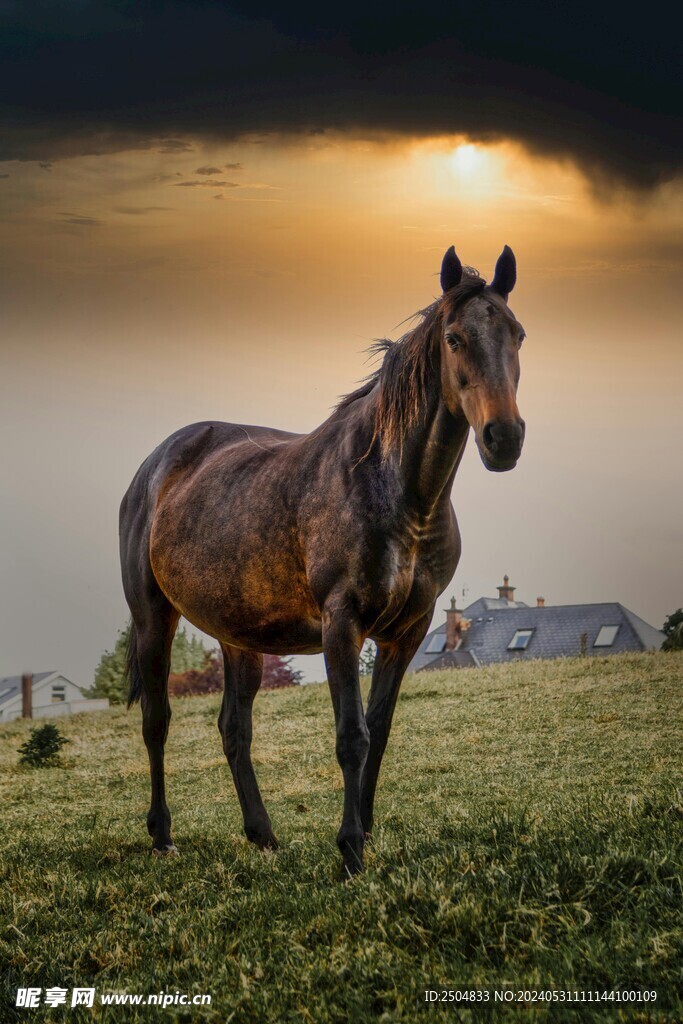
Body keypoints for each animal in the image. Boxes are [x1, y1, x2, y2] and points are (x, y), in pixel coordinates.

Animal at [119, 244, 526, 876]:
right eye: (455, 338)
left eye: (518, 335)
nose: (503, 437)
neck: (395, 489)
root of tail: (154, 467)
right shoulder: (343, 623)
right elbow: (351, 735)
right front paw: (350, 849)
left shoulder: (407, 632)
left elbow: (378, 732)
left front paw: (365, 834)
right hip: (152, 618)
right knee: (157, 721)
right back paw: (163, 834)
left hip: (239, 637)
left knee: (234, 729)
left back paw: (262, 834)